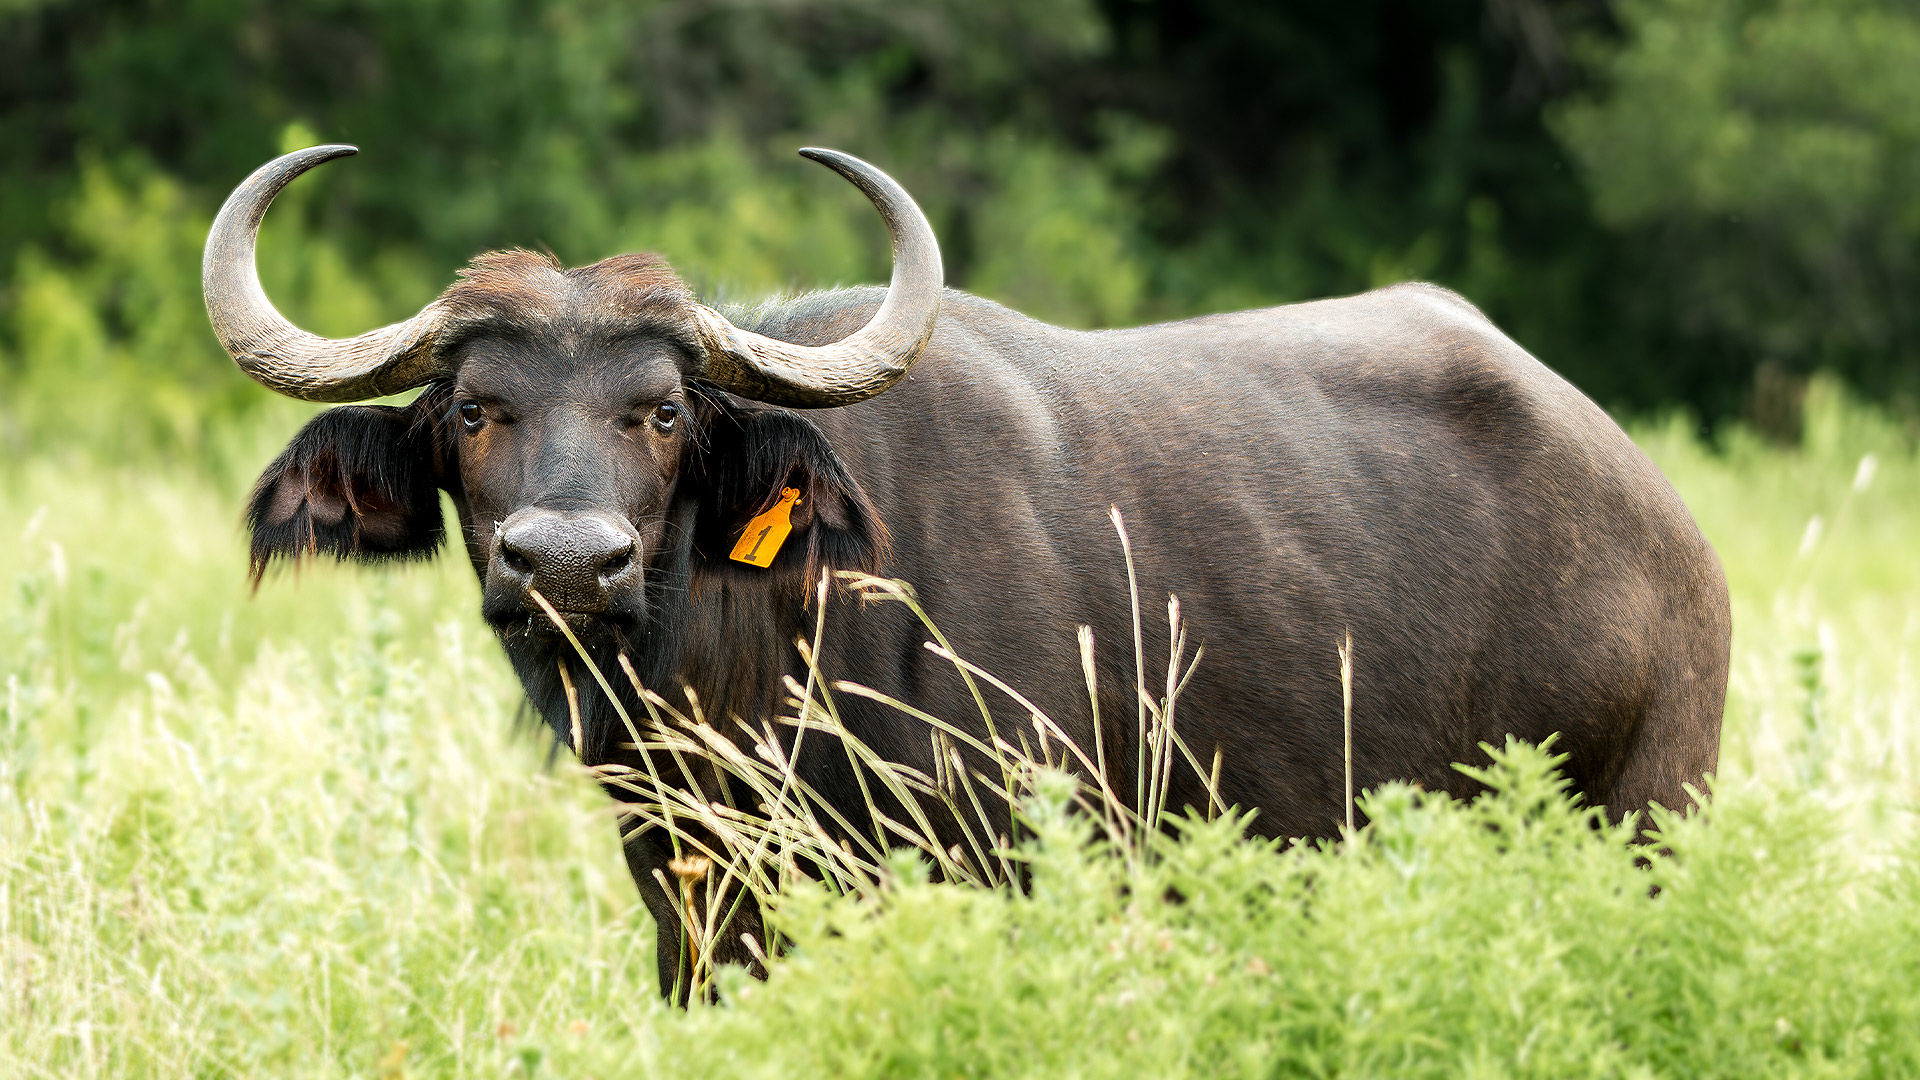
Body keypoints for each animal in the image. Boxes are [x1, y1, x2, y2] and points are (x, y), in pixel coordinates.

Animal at [205, 145, 1730, 998]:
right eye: (474, 411)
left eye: (665, 410)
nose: (569, 561)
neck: (752, 679)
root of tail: (1665, 525)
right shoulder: (695, 918)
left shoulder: (1014, 874)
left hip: (1646, 832)